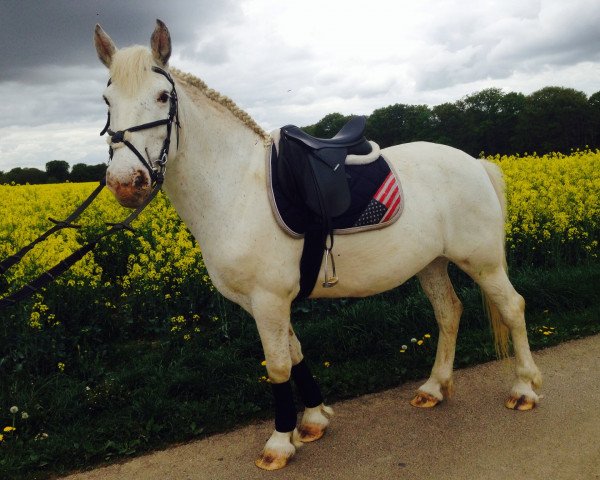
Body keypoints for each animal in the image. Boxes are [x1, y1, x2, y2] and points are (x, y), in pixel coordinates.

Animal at [94, 20, 544, 470]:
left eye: (162, 95)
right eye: (106, 100)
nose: (125, 182)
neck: (237, 188)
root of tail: (475, 163)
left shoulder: (269, 299)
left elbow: (278, 366)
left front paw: (279, 442)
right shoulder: (266, 303)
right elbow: (294, 353)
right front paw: (312, 420)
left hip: (483, 262)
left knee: (513, 307)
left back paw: (524, 388)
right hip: (431, 263)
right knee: (449, 312)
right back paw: (434, 388)